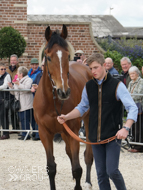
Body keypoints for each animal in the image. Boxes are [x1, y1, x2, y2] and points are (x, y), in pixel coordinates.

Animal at [33, 25, 94, 190]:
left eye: (67, 56)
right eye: (48, 57)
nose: (64, 92)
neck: (52, 102)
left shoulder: (73, 130)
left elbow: (77, 168)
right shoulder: (44, 133)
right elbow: (51, 168)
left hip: (86, 122)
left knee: (87, 155)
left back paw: (87, 181)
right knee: (69, 153)